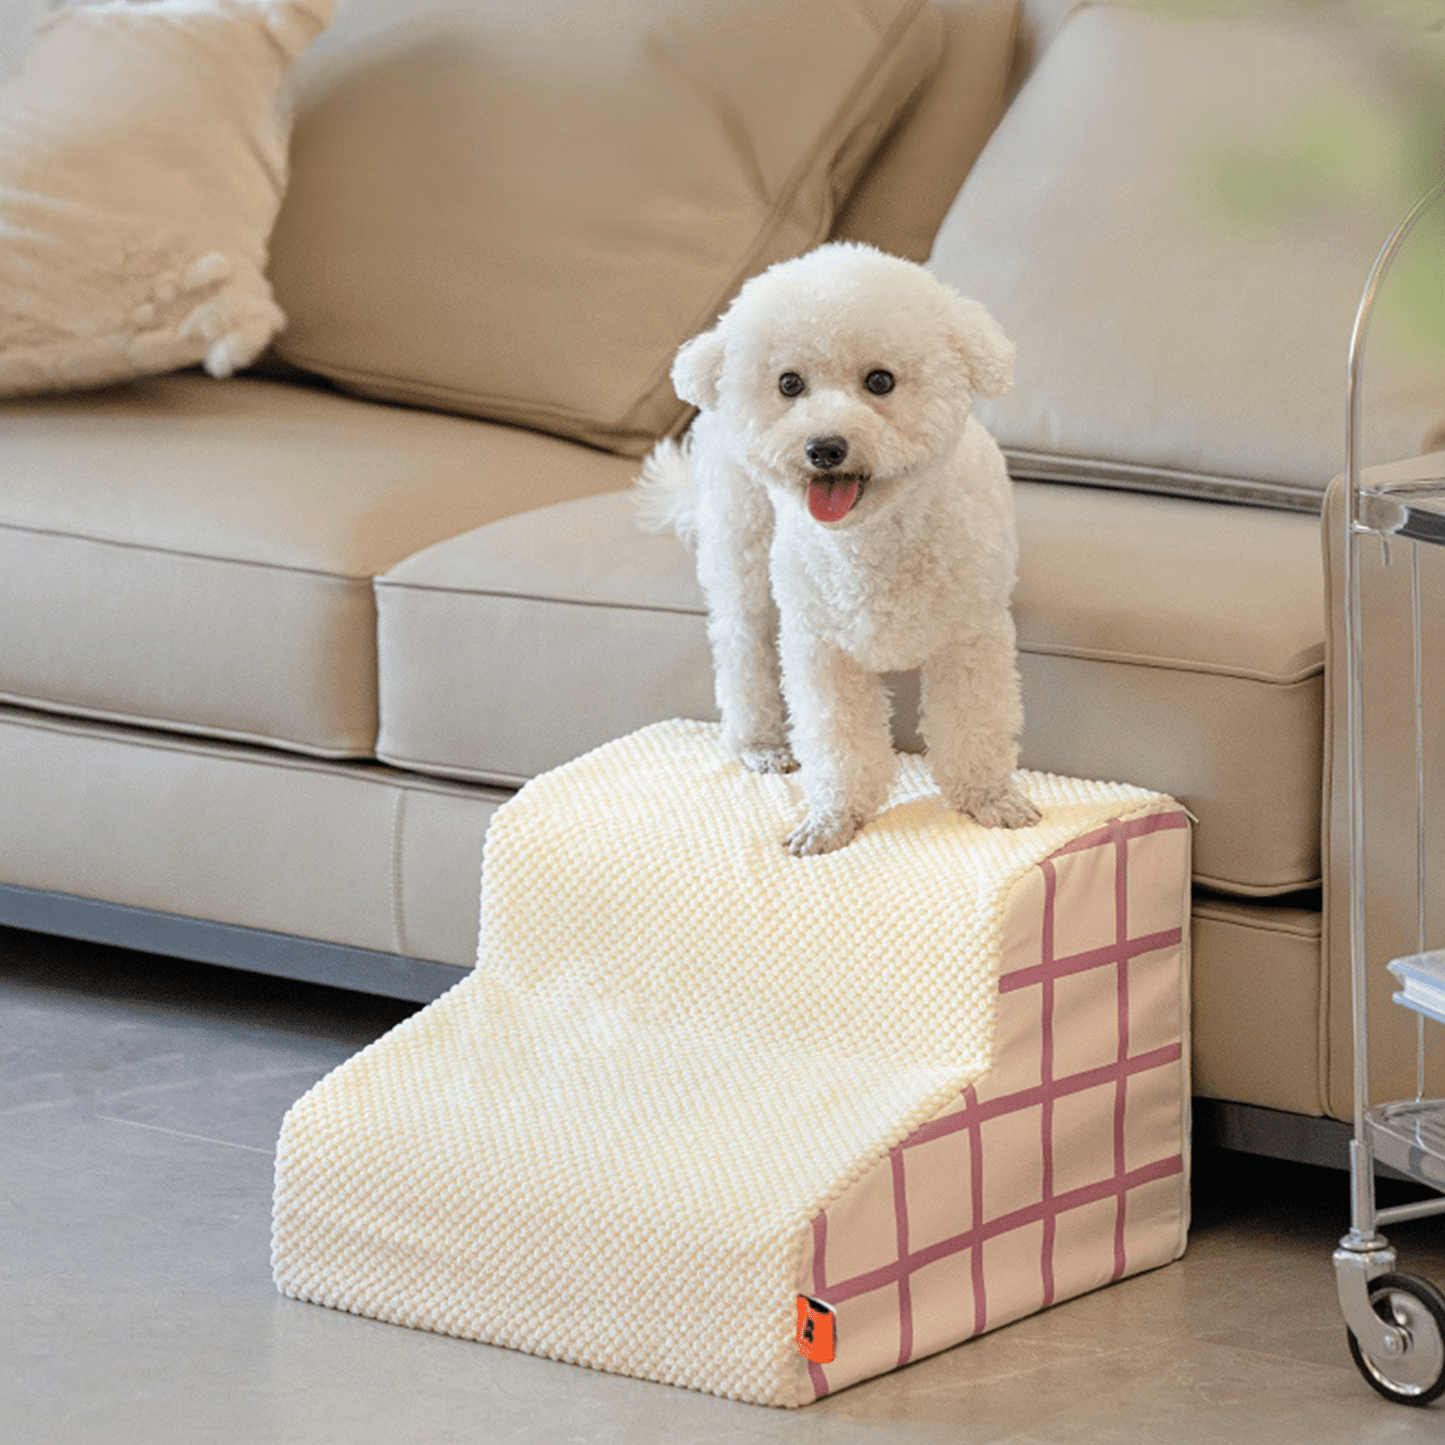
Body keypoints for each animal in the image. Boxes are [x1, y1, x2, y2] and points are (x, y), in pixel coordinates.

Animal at [638, 241, 1034, 849]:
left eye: (880, 381)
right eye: (789, 384)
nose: (824, 448)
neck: (871, 540)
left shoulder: (971, 637)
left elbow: (975, 725)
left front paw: (990, 799)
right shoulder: (821, 650)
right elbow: (838, 742)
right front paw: (833, 819)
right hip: (740, 546)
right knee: (741, 646)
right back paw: (760, 744)